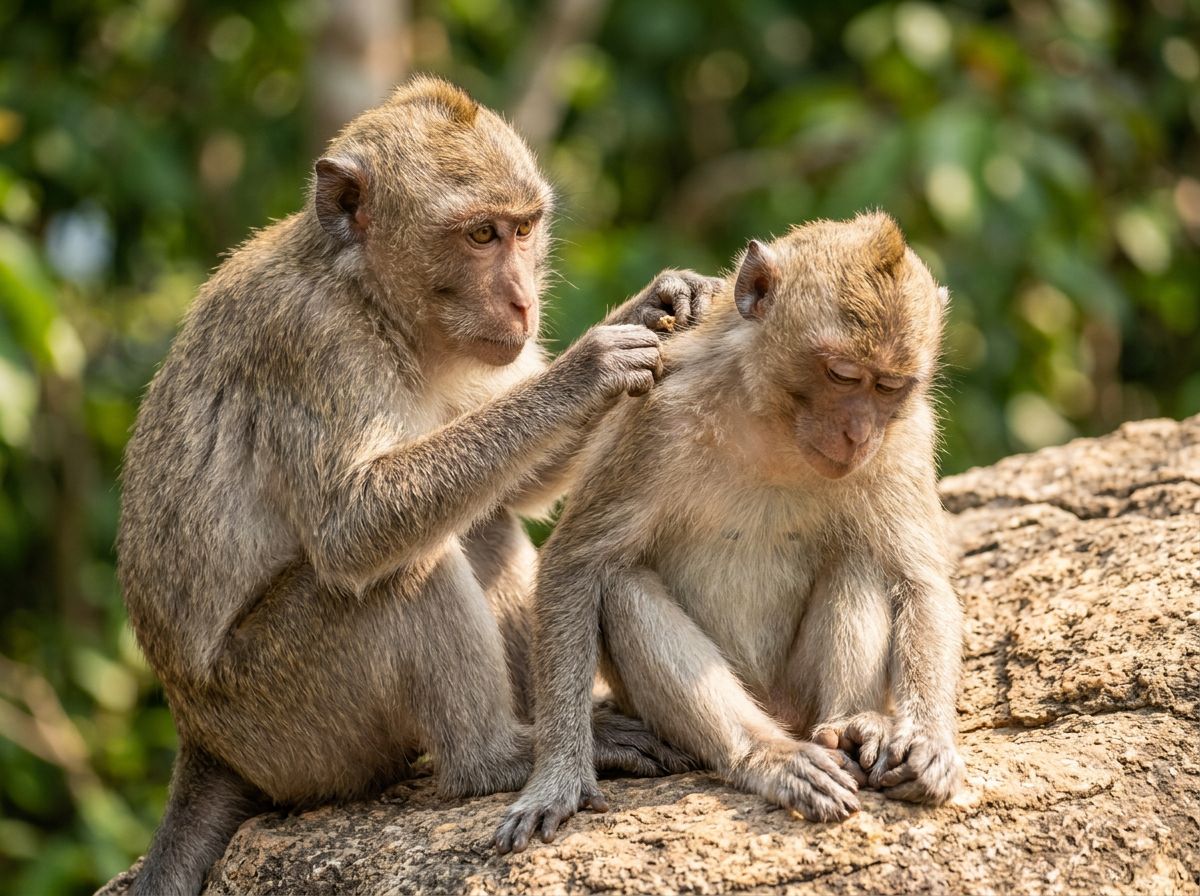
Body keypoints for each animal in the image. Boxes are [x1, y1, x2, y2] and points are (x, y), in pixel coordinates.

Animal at [116, 76, 719, 896]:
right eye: (480, 236)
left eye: (524, 230)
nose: (524, 302)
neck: (369, 296)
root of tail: (199, 737)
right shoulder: (315, 343)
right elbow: (355, 528)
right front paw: (589, 368)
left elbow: (523, 489)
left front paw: (663, 301)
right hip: (280, 715)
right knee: (403, 570)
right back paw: (497, 758)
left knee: (484, 521)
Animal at [494, 211, 965, 854]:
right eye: (842, 374)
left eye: (890, 387)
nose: (858, 435)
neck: (775, 423)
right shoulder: (660, 414)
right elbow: (577, 563)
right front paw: (558, 780)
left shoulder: (908, 435)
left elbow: (920, 581)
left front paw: (929, 742)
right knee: (621, 587)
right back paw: (768, 758)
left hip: (796, 695)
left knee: (861, 558)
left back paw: (849, 726)